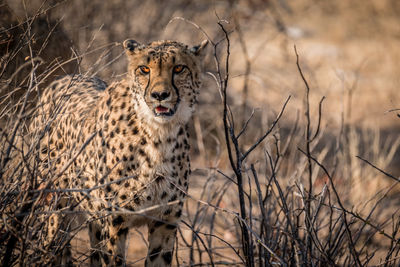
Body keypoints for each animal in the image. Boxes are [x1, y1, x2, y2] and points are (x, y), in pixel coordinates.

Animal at [31, 38, 208, 266]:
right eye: (144, 69)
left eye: (179, 68)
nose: (160, 95)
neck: (159, 136)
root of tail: (63, 78)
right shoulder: (115, 221)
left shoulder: (165, 222)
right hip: (54, 206)